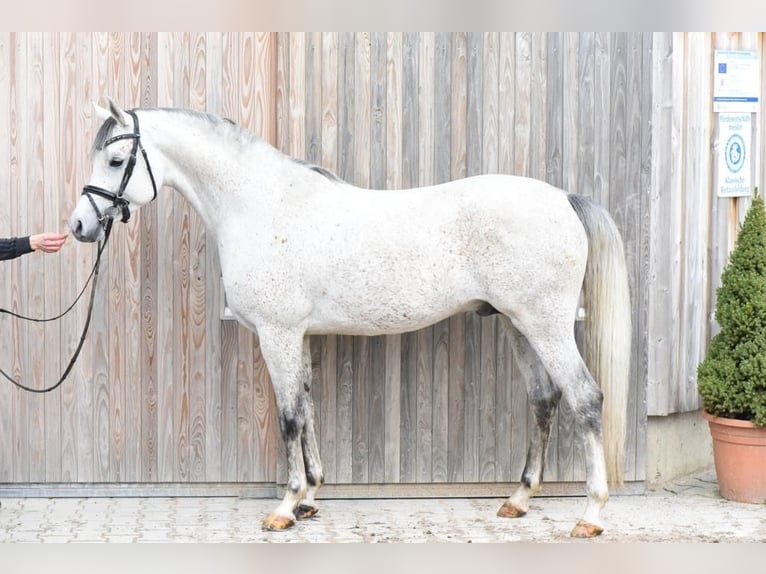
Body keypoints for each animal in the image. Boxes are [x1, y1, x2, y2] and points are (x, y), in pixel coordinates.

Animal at [68, 98, 631, 538]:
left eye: (115, 158)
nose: (78, 226)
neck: (261, 206)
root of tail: (563, 198)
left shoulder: (277, 333)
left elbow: (289, 416)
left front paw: (284, 506)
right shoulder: (299, 336)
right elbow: (308, 407)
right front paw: (310, 499)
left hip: (544, 324)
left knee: (585, 399)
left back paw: (591, 514)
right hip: (517, 324)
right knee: (544, 399)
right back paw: (518, 500)